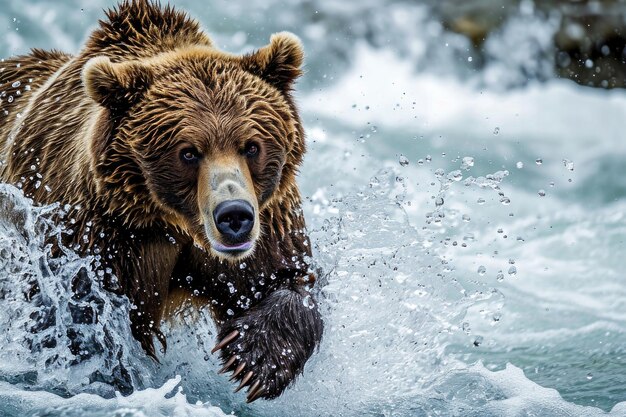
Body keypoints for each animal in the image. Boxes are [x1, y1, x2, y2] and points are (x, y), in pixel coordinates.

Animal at [0, 0, 322, 404]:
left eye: (251, 146)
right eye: (188, 152)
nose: (234, 215)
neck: (168, 220)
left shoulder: (269, 218)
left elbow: (285, 276)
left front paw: (253, 356)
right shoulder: (91, 231)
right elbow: (77, 315)